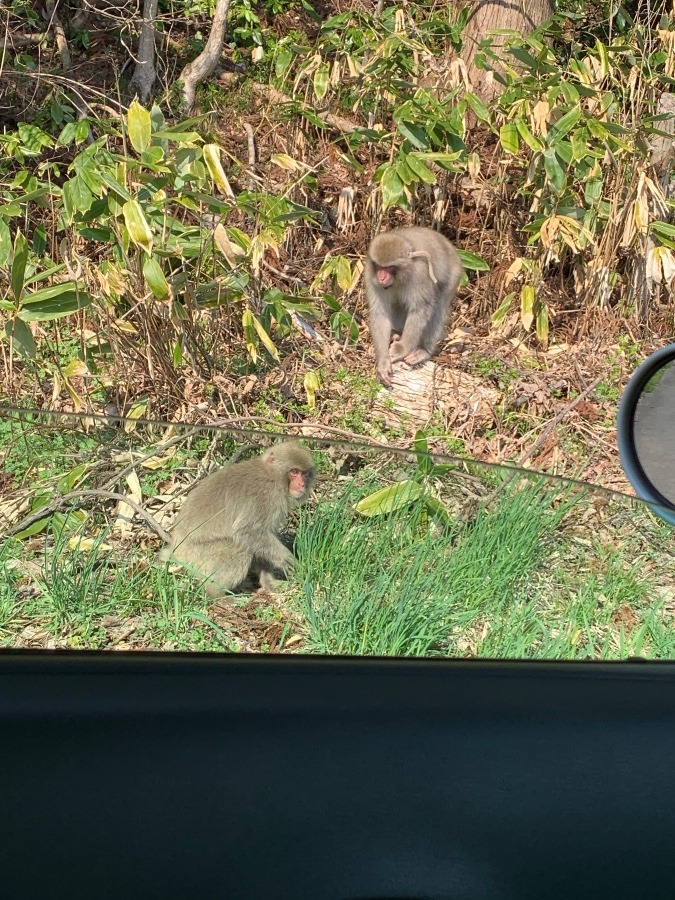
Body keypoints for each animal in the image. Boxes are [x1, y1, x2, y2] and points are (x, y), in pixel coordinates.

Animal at [160, 442, 316, 596]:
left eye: (304, 473)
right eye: (294, 472)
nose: (302, 484)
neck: (272, 476)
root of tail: (175, 548)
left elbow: (260, 542)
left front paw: (269, 581)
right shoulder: (265, 497)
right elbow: (247, 533)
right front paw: (289, 561)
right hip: (196, 555)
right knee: (237, 547)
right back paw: (215, 594)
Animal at [364, 227, 464, 384]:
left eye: (390, 267)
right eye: (380, 267)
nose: (381, 277)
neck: (400, 276)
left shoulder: (420, 273)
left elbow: (420, 309)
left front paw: (402, 349)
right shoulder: (370, 274)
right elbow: (380, 313)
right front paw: (383, 362)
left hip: (454, 273)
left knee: (438, 307)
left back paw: (424, 350)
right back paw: (396, 335)